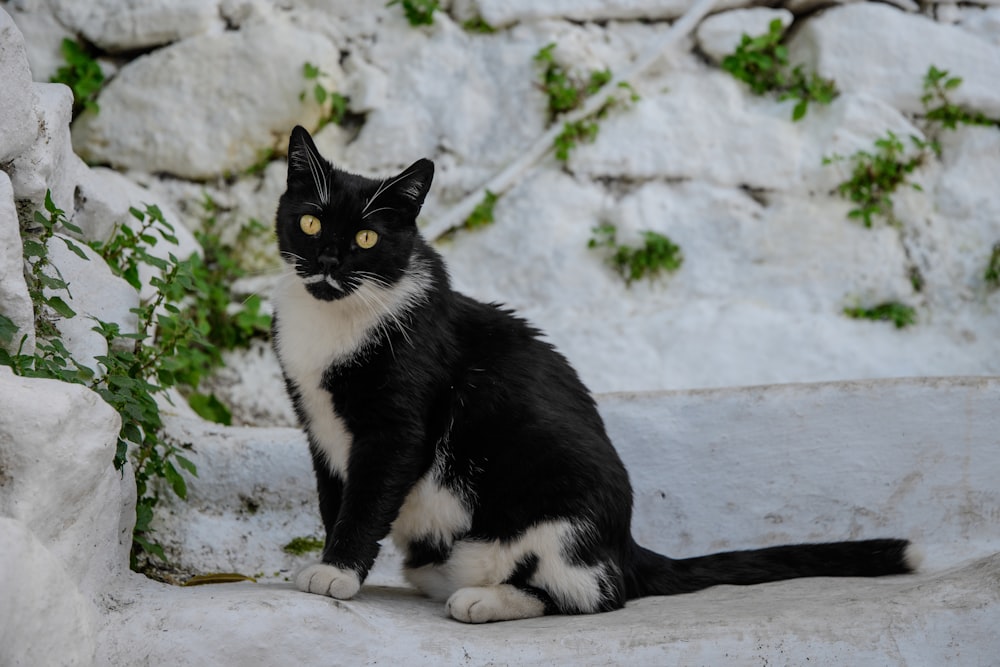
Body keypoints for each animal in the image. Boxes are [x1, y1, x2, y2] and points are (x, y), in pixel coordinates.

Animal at [270, 126, 916, 628]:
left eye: (367, 237)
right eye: (310, 223)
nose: (328, 261)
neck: (334, 324)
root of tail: (624, 545)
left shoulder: (398, 426)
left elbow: (368, 498)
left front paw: (336, 573)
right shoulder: (320, 430)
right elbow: (335, 499)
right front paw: (333, 564)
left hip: (564, 507)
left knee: (593, 594)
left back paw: (484, 602)